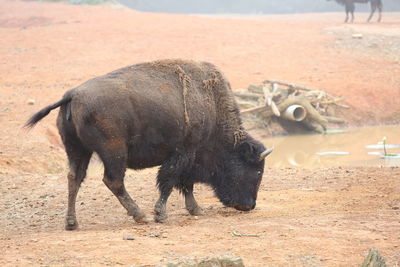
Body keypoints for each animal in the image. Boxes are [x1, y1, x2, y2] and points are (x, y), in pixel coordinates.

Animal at [26, 59, 274, 231]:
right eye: (256, 171)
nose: (249, 205)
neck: (212, 106)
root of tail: (72, 95)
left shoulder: (187, 157)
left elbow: (185, 183)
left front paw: (196, 209)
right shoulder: (183, 152)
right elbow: (170, 181)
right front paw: (160, 214)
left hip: (78, 151)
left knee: (74, 179)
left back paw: (72, 223)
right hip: (114, 152)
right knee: (113, 181)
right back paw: (140, 215)